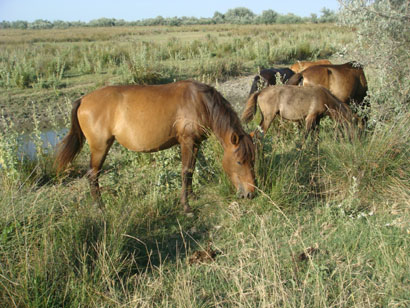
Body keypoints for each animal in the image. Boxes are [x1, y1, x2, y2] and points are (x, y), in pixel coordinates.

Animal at [54, 80, 255, 213]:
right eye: (239, 161)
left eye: (252, 160)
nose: (250, 194)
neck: (199, 102)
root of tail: (83, 99)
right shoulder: (187, 142)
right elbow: (185, 171)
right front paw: (186, 206)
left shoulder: (196, 143)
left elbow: (191, 170)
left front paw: (192, 196)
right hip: (99, 147)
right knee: (92, 175)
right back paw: (100, 207)